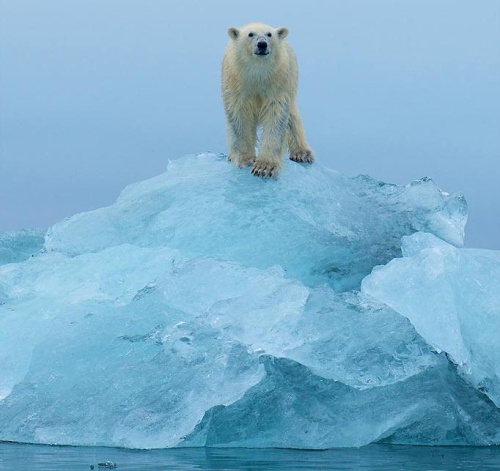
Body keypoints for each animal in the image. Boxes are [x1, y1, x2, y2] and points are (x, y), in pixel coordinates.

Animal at [222, 21, 312, 179]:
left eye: (269, 34)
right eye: (250, 34)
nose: (262, 44)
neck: (257, 72)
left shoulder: (278, 81)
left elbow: (275, 116)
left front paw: (264, 167)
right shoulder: (236, 81)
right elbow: (239, 117)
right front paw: (245, 159)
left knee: (292, 117)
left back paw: (302, 153)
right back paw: (232, 155)